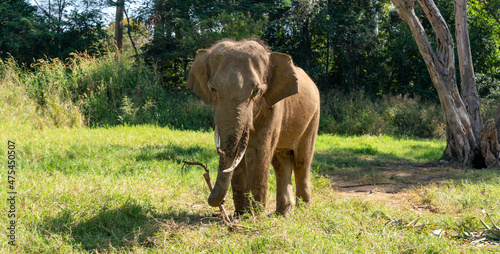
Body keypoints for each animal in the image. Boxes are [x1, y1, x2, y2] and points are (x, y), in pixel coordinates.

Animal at [188, 39, 320, 216]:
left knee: (301, 162)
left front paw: (254, 215)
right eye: (213, 89)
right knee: (281, 162)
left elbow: (259, 151)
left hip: (313, 118)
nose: (220, 202)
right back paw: (283, 213)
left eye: (256, 91)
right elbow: (239, 156)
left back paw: (302, 210)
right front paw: (240, 214)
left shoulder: (274, 106)